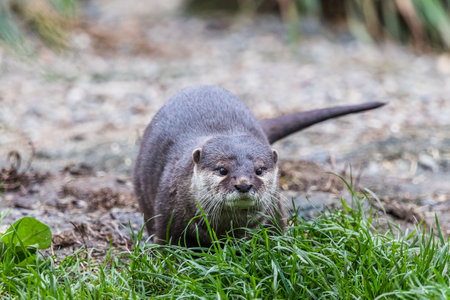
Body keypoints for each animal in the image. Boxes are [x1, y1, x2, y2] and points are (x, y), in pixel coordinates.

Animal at [133, 85, 384, 246]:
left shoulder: (274, 213)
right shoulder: (169, 215)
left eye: (259, 170)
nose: (243, 184)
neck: (225, 229)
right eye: (222, 170)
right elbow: (169, 248)